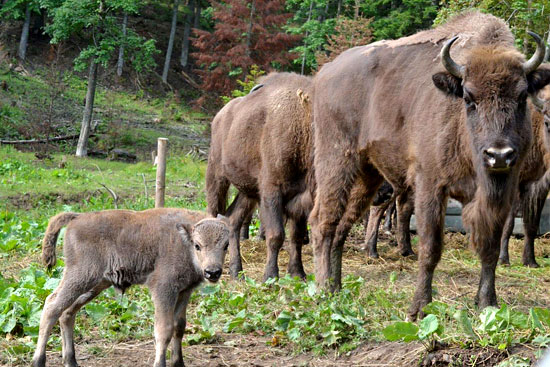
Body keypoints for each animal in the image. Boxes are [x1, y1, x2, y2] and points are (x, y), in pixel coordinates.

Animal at [32, 208, 231, 367]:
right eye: (197, 245)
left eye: (226, 245)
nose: (212, 272)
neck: (183, 241)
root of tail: (77, 217)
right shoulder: (164, 291)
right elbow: (164, 330)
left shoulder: (184, 292)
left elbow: (179, 327)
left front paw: (179, 363)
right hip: (80, 277)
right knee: (52, 306)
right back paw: (38, 361)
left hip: (96, 284)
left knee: (67, 312)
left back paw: (71, 361)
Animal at [310, 12, 550, 320]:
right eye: (468, 98)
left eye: (521, 97)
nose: (498, 155)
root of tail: (325, 73)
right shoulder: (430, 186)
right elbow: (430, 247)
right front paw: (418, 309)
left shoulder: (500, 192)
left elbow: (490, 246)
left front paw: (487, 304)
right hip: (336, 161)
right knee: (323, 222)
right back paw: (322, 289)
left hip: (368, 175)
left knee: (343, 226)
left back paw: (336, 288)